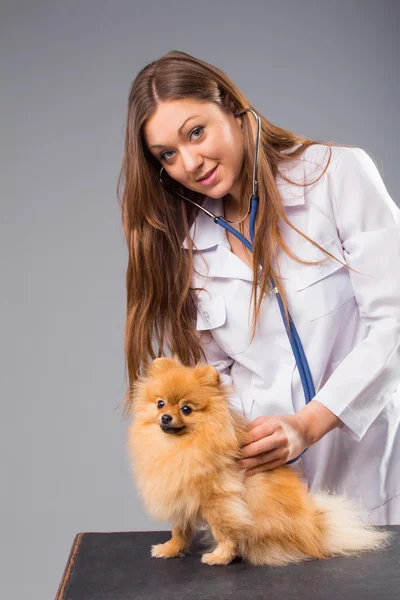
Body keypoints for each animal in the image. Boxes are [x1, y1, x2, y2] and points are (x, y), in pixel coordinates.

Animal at [126, 356, 392, 568]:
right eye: (160, 403)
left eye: (186, 409)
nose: (165, 417)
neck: (182, 446)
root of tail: (318, 530)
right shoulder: (181, 494)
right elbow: (179, 529)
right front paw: (171, 549)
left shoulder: (219, 500)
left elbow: (224, 530)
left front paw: (220, 556)